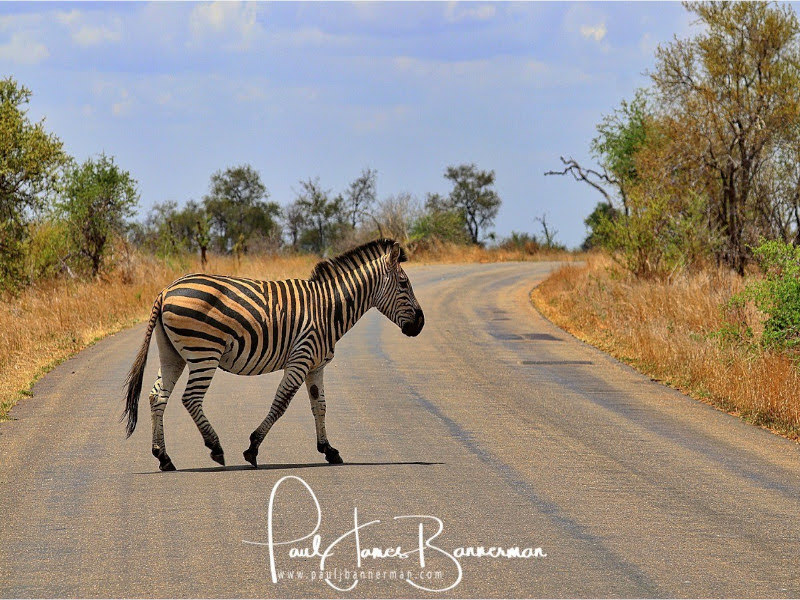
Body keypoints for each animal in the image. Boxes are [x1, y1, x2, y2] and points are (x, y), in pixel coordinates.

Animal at [122, 239, 424, 471]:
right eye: (403, 283)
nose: (420, 325)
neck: (328, 308)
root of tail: (165, 291)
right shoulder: (301, 358)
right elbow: (281, 404)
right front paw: (252, 448)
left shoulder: (316, 366)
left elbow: (320, 406)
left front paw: (329, 450)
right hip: (204, 352)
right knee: (190, 398)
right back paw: (215, 447)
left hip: (172, 354)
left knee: (157, 397)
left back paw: (163, 457)